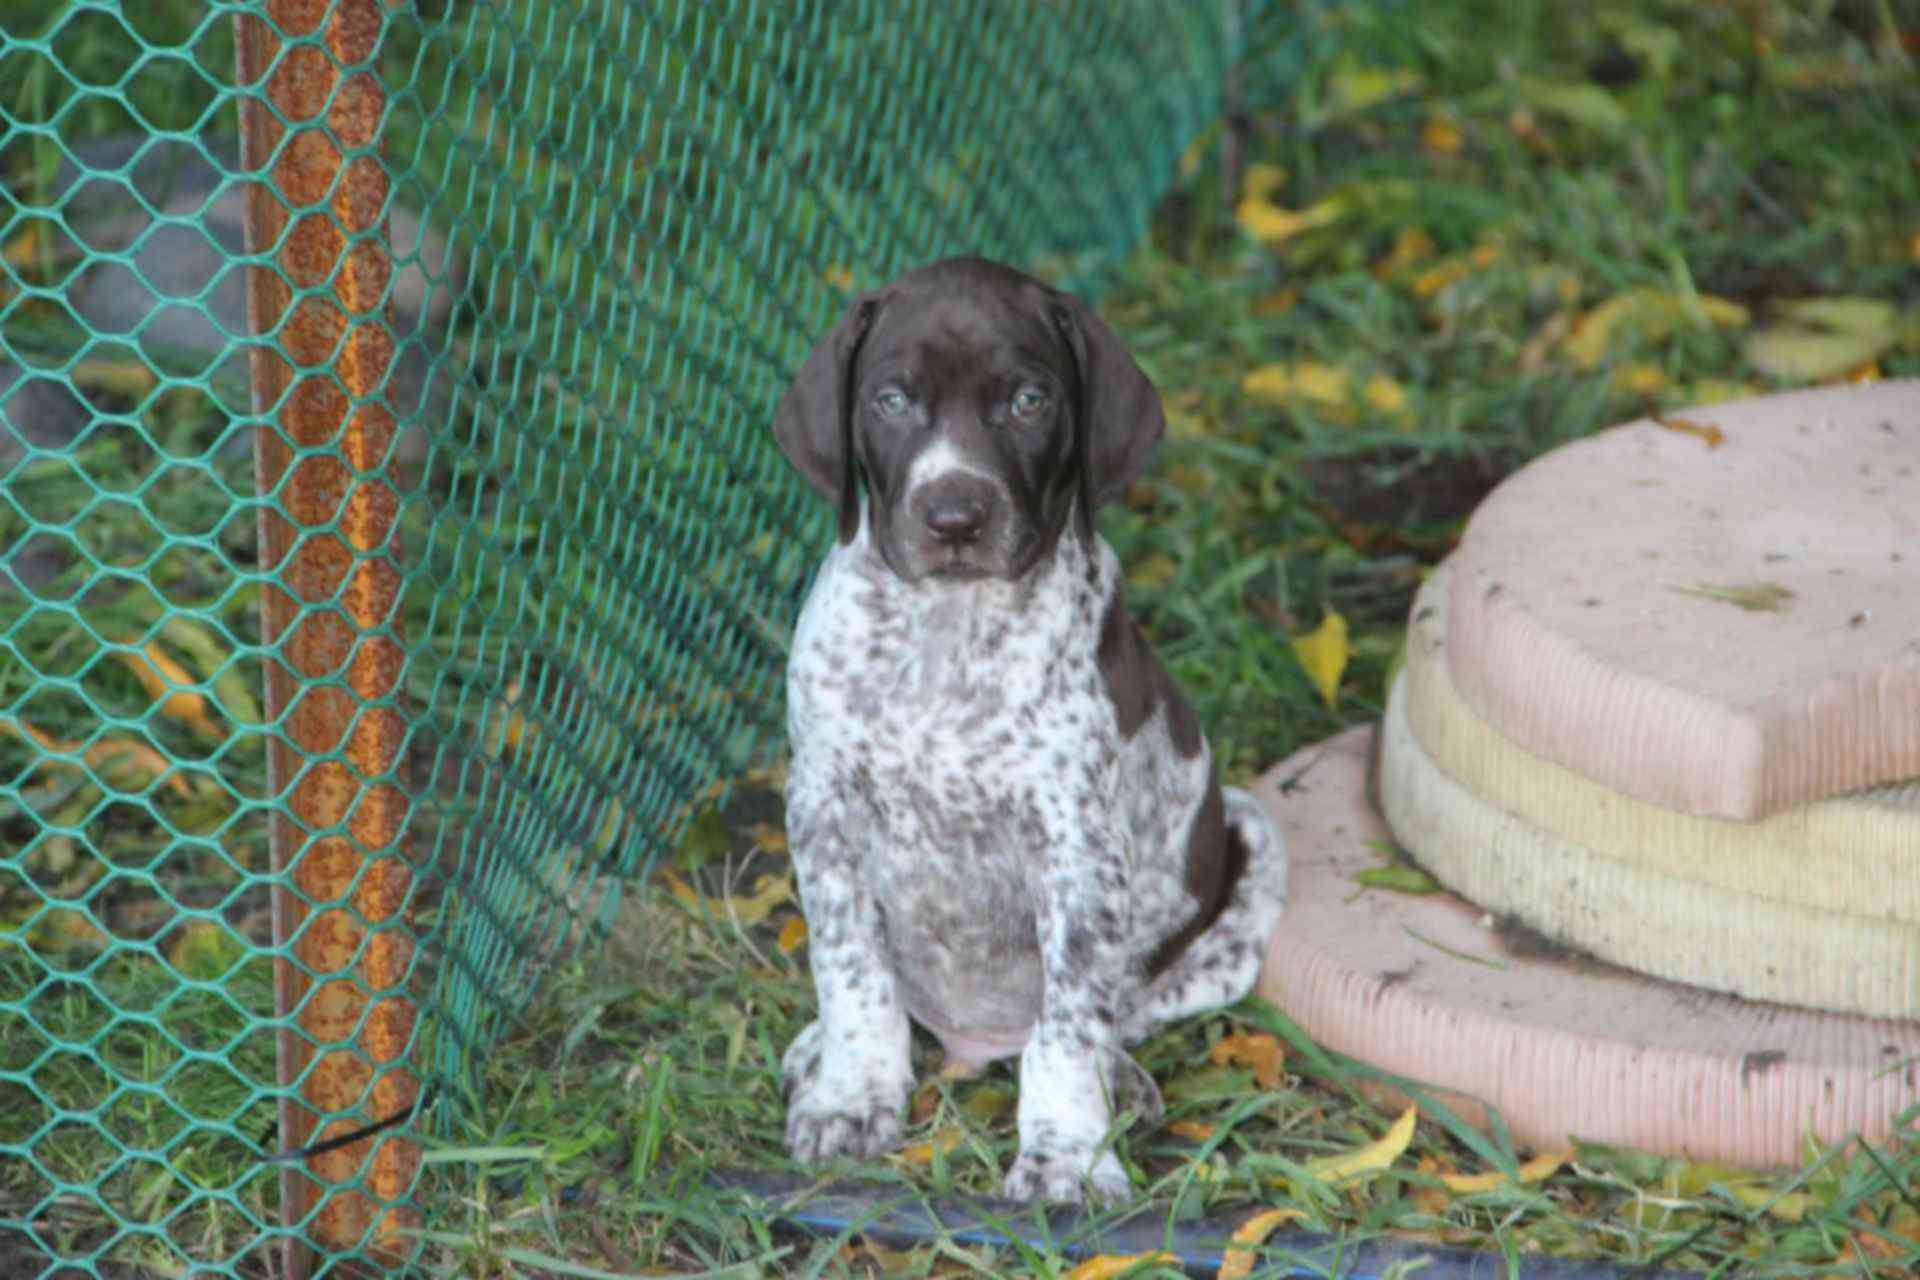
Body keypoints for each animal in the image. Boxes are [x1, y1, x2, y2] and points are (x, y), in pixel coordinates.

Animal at [768, 257, 1290, 1205]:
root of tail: (975, 1043)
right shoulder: (822, 807)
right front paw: (853, 1094)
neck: (947, 631)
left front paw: (1068, 1156)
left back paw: (1119, 1083)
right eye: (891, 400)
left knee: (1114, 1016)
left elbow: (1069, 1023)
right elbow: (852, 969)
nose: (954, 516)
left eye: (1027, 402)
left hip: (1250, 840)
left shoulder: (1077, 847)